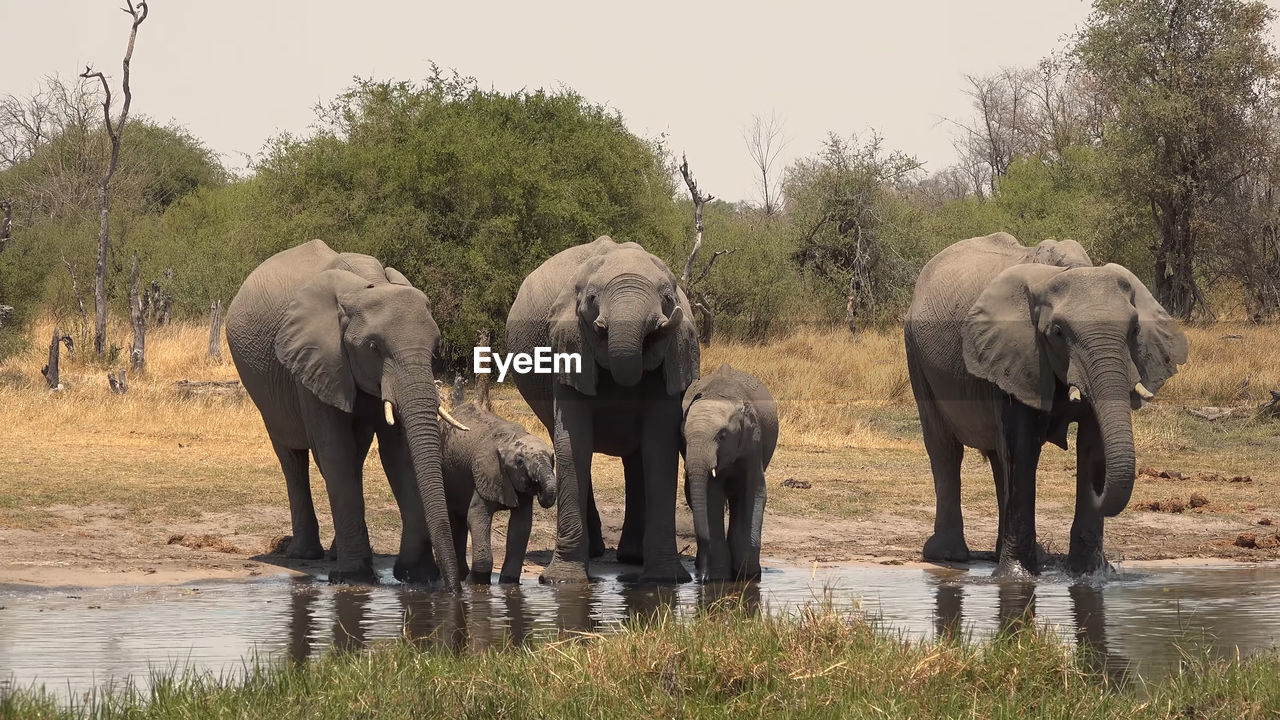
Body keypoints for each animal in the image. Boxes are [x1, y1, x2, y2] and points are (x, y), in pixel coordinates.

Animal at [226, 238, 471, 586]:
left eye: (435, 346)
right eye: (373, 347)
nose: (454, 586)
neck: (365, 286)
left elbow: (399, 453)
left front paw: (417, 576)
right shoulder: (315, 359)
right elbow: (334, 450)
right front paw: (352, 578)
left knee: (353, 454)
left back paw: (334, 553)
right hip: (265, 391)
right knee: (293, 457)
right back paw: (306, 554)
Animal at [440, 397, 555, 584]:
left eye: (553, 459)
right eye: (520, 461)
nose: (538, 487)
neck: (508, 442)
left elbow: (521, 525)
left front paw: (508, 583)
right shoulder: (486, 472)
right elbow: (477, 517)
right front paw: (476, 582)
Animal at [504, 235, 701, 584]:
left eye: (667, 297)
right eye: (592, 298)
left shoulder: (674, 353)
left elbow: (659, 446)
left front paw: (665, 580)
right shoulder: (567, 345)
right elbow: (574, 443)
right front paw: (562, 581)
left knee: (637, 458)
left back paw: (632, 557)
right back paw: (597, 552)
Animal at [686, 361, 773, 579]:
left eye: (722, 436)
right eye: (683, 435)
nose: (702, 576)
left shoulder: (753, 440)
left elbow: (755, 491)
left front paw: (749, 576)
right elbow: (711, 495)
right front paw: (718, 576)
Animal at [901, 233, 1187, 573]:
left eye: (1134, 330)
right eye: (1058, 332)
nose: (1099, 491)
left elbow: (1092, 446)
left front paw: (1089, 573)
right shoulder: (1018, 355)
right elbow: (1024, 447)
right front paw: (1017, 576)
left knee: (998, 457)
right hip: (915, 353)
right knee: (945, 449)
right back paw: (948, 555)